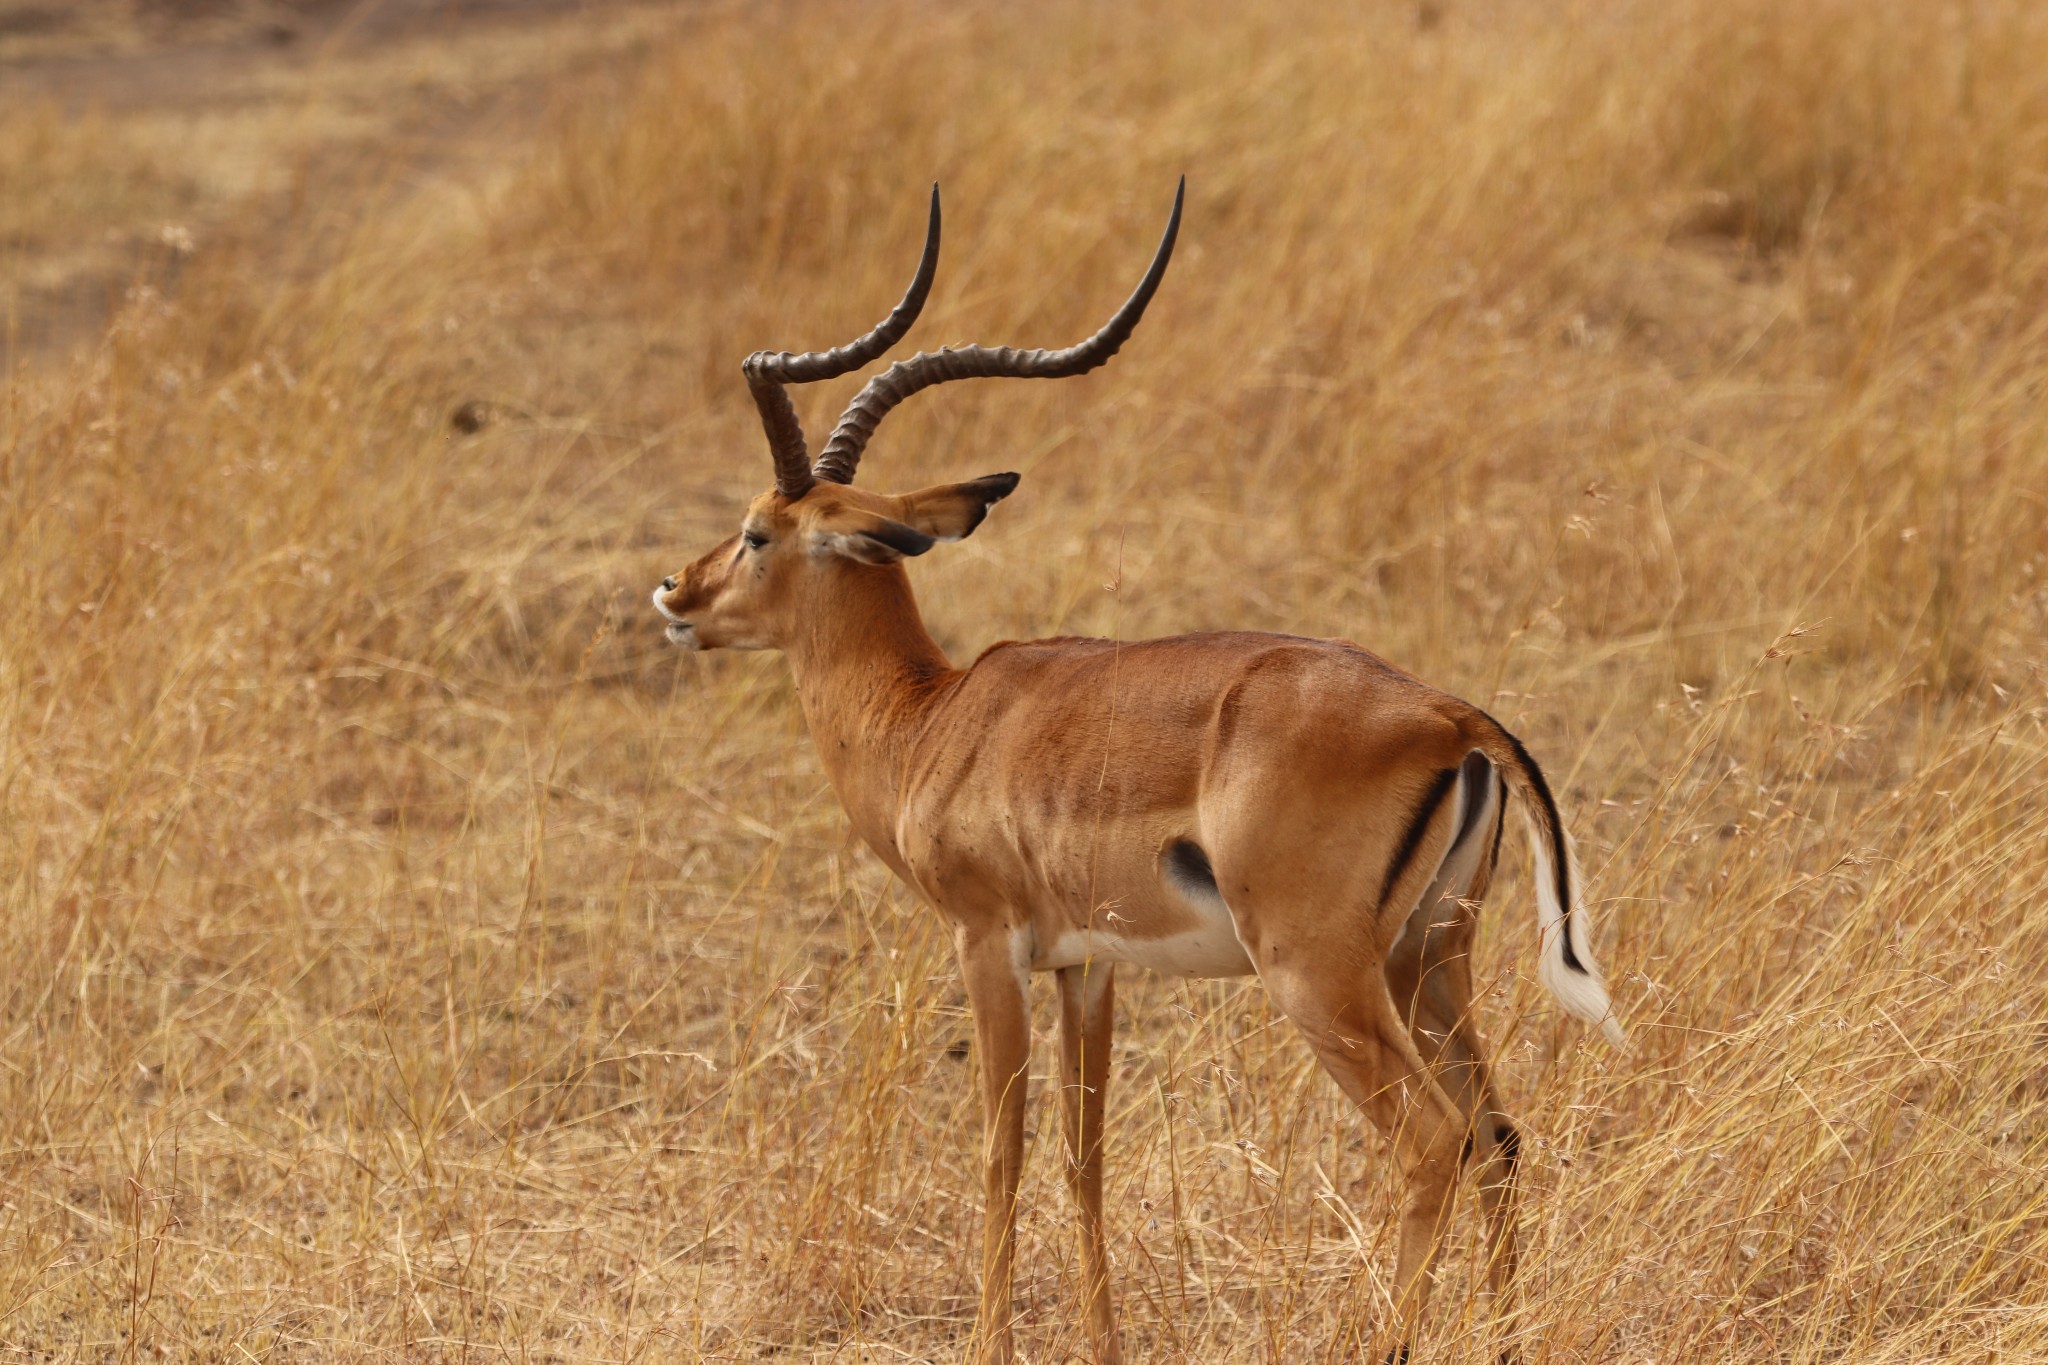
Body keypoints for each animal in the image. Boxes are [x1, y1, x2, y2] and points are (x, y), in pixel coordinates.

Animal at [651, 184, 1613, 1365]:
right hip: (1426, 960)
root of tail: (1447, 716)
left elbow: (1001, 1151)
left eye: (755, 532)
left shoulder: (988, 943)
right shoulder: (1088, 965)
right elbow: (1085, 1155)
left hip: (1321, 978)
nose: (675, 592)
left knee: (1434, 1141)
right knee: (1500, 1131)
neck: (934, 719)